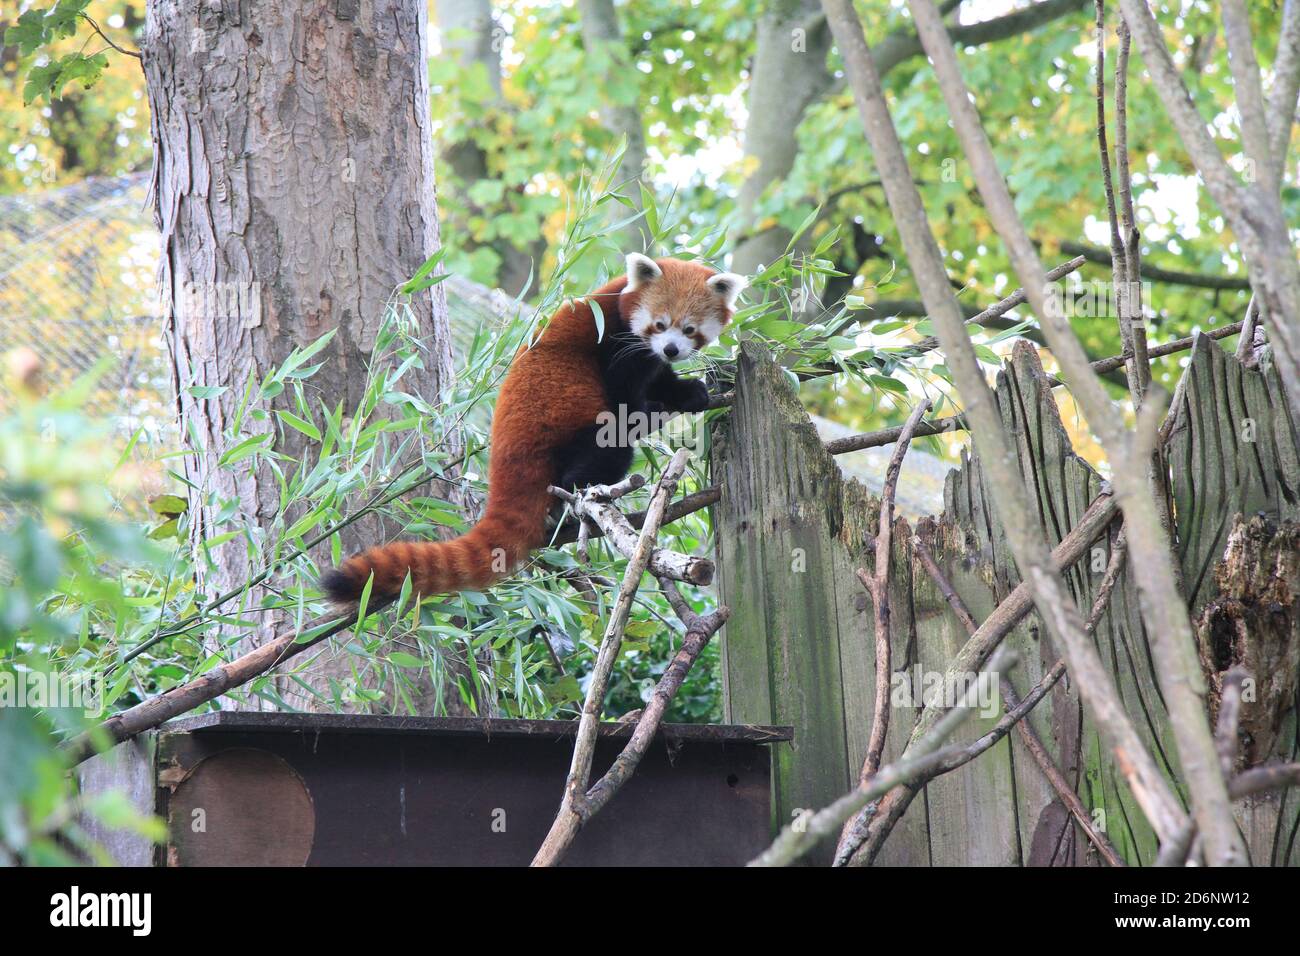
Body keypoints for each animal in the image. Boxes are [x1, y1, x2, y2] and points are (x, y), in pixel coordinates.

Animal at [321, 254, 748, 606]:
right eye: (659, 324)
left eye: (689, 330)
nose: (671, 349)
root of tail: (506, 452)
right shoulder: (616, 340)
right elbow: (625, 392)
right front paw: (648, 410)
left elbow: (661, 378)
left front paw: (689, 392)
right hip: (562, 425)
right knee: (604, 451)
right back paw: (577, 499)